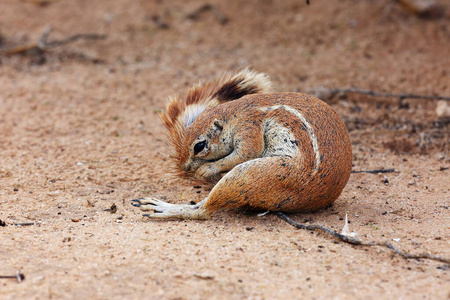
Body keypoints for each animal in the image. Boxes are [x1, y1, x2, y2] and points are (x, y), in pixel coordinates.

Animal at [132, 70, 354, 220]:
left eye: (199, 146)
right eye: (185, 132)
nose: (184, 168)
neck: (233, 113)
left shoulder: (248, 126)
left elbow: (245, 152)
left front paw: (206, 169)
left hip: (253, 174)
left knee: (203, 211)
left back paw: (164, 208)